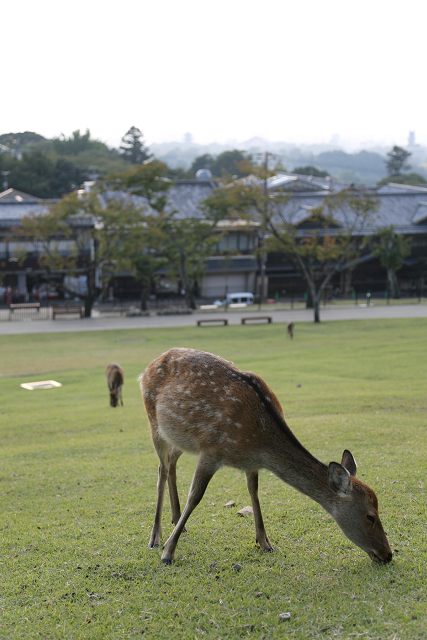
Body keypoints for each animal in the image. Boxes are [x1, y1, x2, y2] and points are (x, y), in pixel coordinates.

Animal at [139, 350, 392, 564]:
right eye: (370, 516)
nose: (388, 554)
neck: (259, 441)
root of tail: (146, 369)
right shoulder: (211, 450)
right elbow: (195, 496)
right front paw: (169, 552)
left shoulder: (251, 463)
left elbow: (254, 493)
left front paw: (265, 543)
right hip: (153, 422)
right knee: (162, 468)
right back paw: (156, 537)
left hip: (180, 437)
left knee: (171, 462)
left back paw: (176, 521)